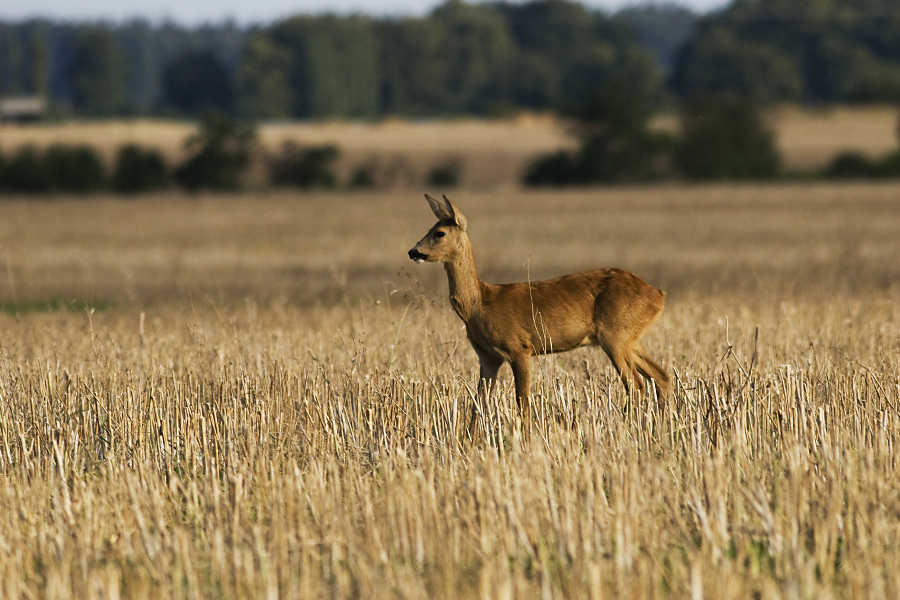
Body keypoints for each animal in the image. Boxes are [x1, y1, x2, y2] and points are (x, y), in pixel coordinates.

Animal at [408, 194, 669, 423]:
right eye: (430, 228)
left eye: (439, 233)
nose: (413, 252)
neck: (479, 305)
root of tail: (657, 294)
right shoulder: (488, 357)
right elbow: (478, 404)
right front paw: (470, 442)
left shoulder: (519, 347)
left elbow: (522, 401)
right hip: (630, 339)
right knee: (662, 377)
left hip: (614, 336)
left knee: (636, 385)